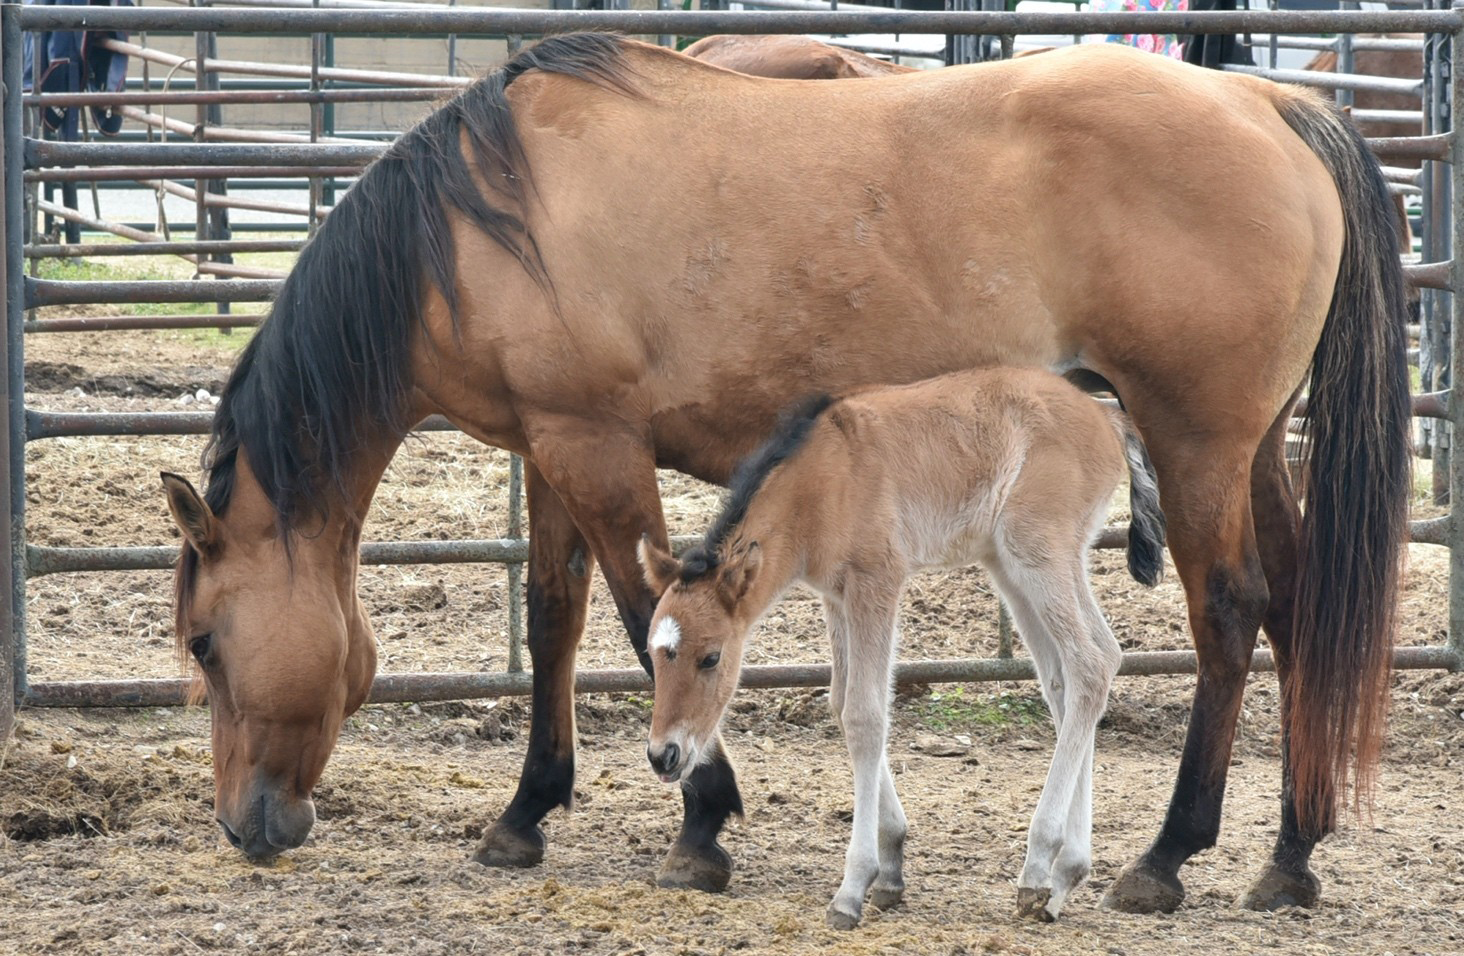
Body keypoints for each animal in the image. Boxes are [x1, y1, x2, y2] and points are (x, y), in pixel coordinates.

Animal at [639, 368, 1167, 927]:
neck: (822, 480)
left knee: (1091, 664)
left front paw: (852, 886)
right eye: (652, 653)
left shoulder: (878, 582)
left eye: (711, 657)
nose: (664, 756)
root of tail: (1107, 415)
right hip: (1016, 564)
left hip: (1038, 552)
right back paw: (1063, 877)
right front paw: (890, 865)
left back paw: (1039, 864)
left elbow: (866, 715)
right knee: (1073, 676)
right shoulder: (835, 596)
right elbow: (840, 702)